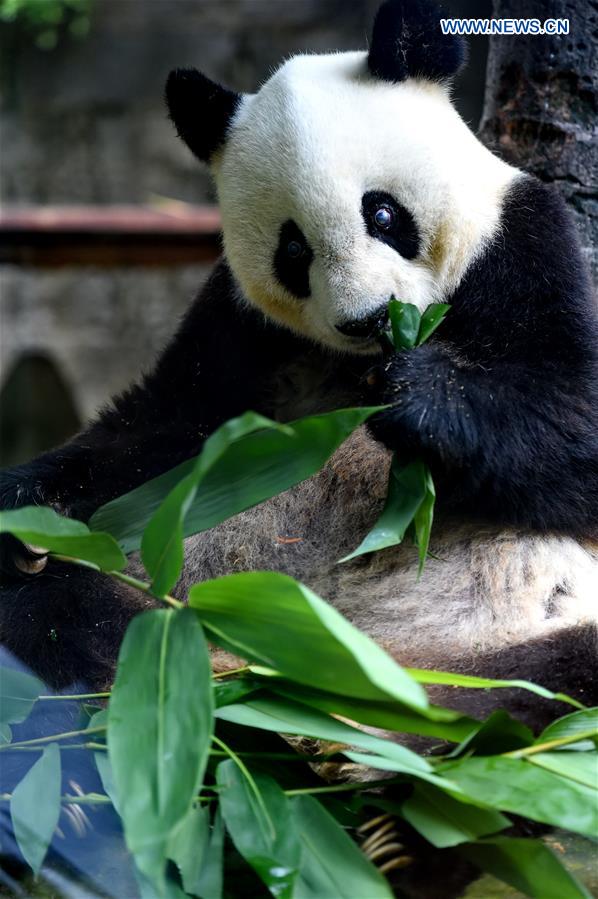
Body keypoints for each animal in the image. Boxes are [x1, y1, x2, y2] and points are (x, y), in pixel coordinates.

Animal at [1, 1, 598, 732]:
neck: (357, 361)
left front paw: (417, 399)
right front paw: (23, 509)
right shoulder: (240, 328)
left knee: (557, 681)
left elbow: (572, 428)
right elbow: (157, 430)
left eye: (382, 212)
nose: (368, 319)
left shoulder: (522, 246)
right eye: (293, 250)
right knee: (58, 604)